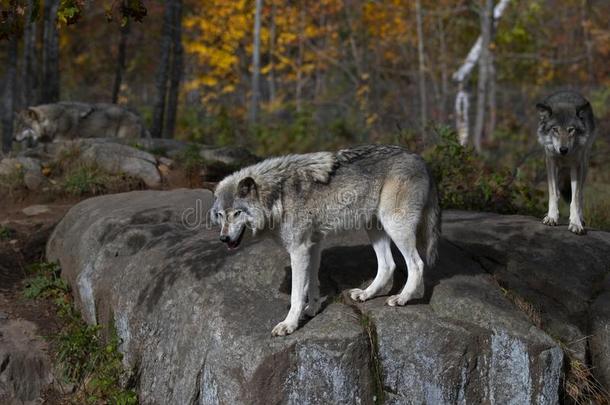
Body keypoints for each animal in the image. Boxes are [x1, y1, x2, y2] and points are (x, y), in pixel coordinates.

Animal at [13, 101, 149, 147]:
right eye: (17, 125)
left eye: (22, 126)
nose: (13, 139)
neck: (54, 121)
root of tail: (139, 118)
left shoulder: (61, 141)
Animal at [211, 144, 440, 334]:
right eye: (221, 215)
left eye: (237, 213)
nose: (223, 238)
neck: (277, 196)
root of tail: (421, 160)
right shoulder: (313, 245)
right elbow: (312, 283)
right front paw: (312, 309)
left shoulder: (299, 249)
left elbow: (296, 294)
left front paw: (289, 324)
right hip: (375, 227)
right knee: (388, 265)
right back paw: (366, 294)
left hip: (394, 226)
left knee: (416, 264)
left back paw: (401, 298)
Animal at [536, 89, 592, 232]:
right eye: (555, 129)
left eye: (571, 130)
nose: (563, 149)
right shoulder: (550, 162)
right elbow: (553, 193)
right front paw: (551, 217)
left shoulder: (576, 166)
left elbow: (575, 198)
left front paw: (576, 222)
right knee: (557, 191)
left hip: (584, 165)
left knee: (580, 195)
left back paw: (581, 218)